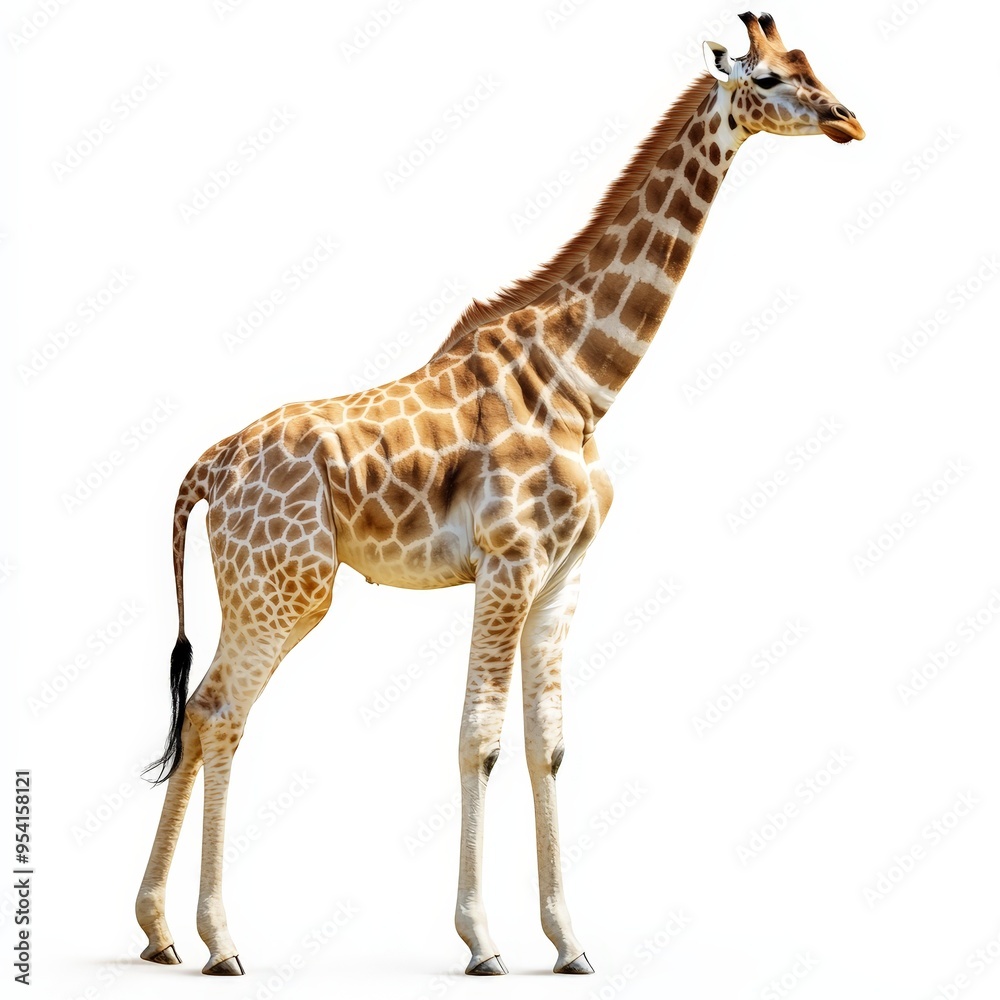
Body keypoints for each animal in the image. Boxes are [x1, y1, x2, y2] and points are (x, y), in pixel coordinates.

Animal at [136, 12, 863, 978]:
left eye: (813, 63)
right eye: (774, 79)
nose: (849, 120)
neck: (584, 379)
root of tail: (208, 468)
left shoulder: (564, 572)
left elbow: (545, 742)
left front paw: (570, 942)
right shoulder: (507, 562)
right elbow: (476, 736)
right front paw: (482, 941)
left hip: (259, 586)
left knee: (199, 709)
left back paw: (159, 932)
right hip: (288, 588)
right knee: (221, 712)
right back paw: (221, 941)